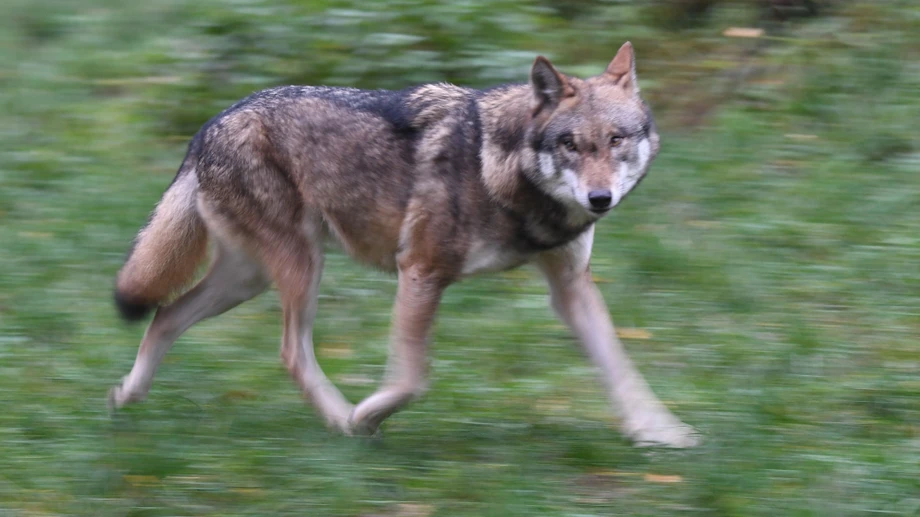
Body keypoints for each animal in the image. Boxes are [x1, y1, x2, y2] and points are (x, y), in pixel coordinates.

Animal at [110, 42, 698, 447]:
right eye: (572, 144)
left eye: (616, 140)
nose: (600, 198)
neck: (503, 171)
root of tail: (209, 124)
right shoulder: (420, 270)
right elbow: (413, 378)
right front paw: (367, 414)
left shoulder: (571, 287)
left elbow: (621, 367)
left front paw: (661, 434)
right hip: (300, 268)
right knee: (290, 353)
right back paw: (342, 421)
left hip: (248, 279)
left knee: (166, 314)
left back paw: (127, 396)